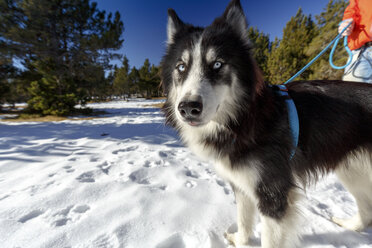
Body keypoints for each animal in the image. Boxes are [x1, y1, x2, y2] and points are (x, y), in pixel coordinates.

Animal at [161, 0, 372, 246]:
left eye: (217, 64)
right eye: (181, 67)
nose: (187, 108)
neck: (245, 119)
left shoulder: (273, 193)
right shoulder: (241, 182)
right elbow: (244, 219)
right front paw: (240, 240)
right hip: (351, 169)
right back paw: (350, 226)